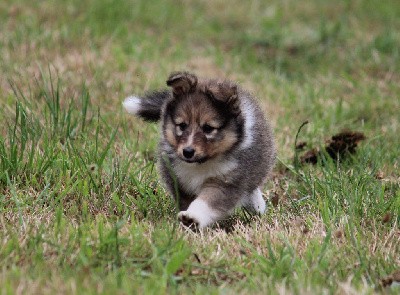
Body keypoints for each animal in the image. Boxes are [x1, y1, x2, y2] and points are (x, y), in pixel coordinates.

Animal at [123, 71, 276, 229]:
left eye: (208, 128)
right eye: (182, 125)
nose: (188, 152)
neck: (201, 164)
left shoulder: (225, 182)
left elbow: (207, 202)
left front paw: (192, 217)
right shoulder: (178, 179)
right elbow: (186, 199)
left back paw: (257, 206)